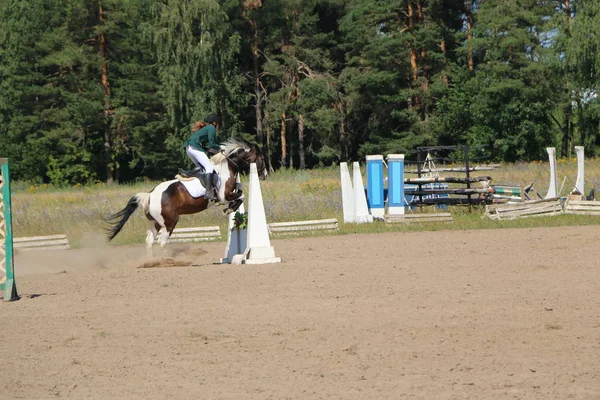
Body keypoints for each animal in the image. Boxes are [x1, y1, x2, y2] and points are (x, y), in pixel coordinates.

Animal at [105, 138, 268, 256]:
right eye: (261, 158)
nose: (265, 175)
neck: (226, 167)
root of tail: (150, 195)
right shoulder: (223, 196)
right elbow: (242, 196)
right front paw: (229, 209)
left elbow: (240, 192)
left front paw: (230, 209)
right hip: (170, 222)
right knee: (161, 242)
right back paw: (166, 261)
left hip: (155, 223)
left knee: (149, 241)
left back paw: (151, 261)